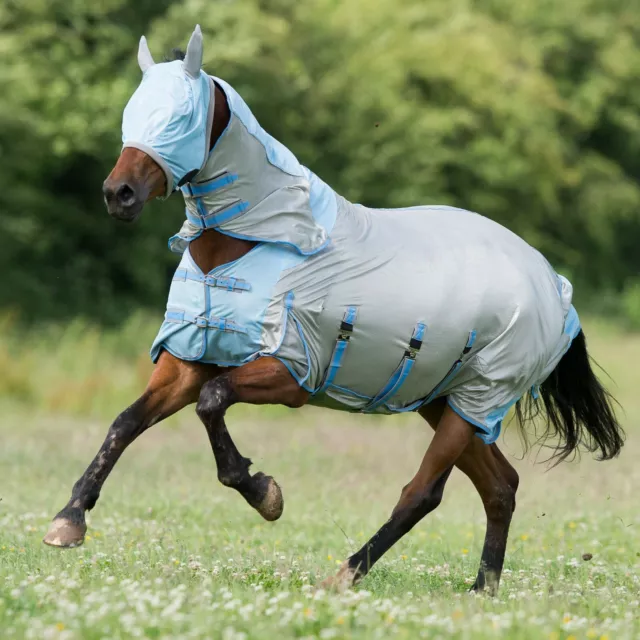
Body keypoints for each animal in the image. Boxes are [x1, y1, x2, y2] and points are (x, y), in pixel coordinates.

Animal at [41, 25, 624, 596]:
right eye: (132, 113)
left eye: (181, 118)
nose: (118, 194)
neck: (253, 244)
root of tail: (556, 288)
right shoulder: (186, 360)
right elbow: (126, 422)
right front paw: (68, 520)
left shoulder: (290, 373)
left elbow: (212, 403)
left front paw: (264, 493)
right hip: (447, 400)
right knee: (501, 486)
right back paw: (482, 591)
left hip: (478, 398)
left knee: (424, 491)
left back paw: (346, 574)